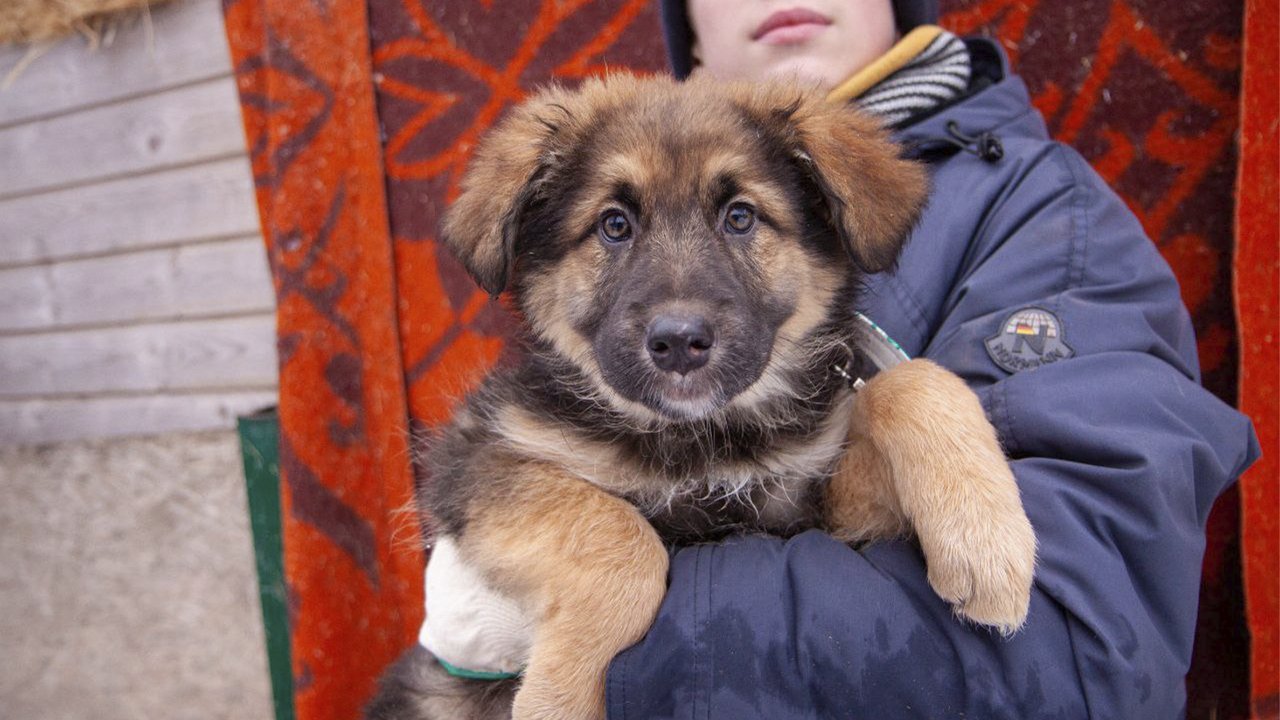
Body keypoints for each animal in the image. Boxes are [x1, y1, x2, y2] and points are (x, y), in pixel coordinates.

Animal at [368, 73, 1039, 717]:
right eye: (615, 225)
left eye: (740, 217)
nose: (678, 342)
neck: (704, 442)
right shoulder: (479, 462)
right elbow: (620, 535)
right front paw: (560, 697)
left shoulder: (815, 518)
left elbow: (912, 379)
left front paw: (986, 541)